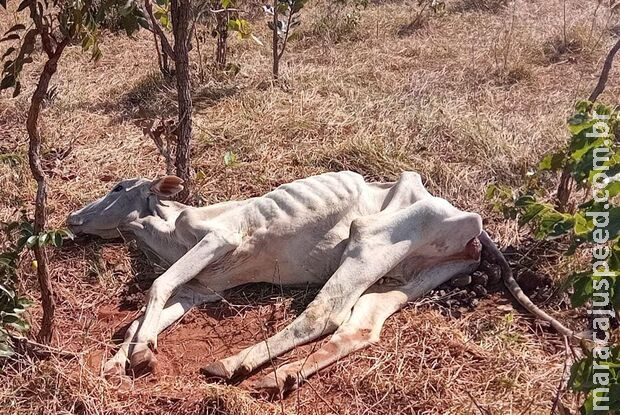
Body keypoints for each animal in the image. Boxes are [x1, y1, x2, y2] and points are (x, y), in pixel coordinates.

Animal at [66, 171, 572, 394]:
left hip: (370, 237)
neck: (167, 230)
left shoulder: (218, 237)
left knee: (323, 314)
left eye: (117, 188)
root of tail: (469, 220)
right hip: (409, 274)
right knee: (362, 324)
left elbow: (157, 286)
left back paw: (239, 365)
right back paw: (285, 373)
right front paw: (121, 358)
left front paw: (141, 355)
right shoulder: (201, 289)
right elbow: (145, 313)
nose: (72, 218)